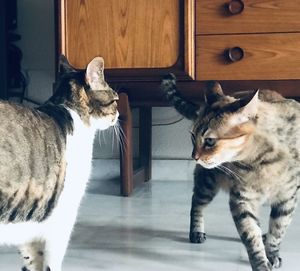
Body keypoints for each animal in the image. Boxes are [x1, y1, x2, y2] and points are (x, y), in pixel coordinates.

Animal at [0, 55, 119, 271]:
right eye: (115, 100)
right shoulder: (62, 217)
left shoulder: (28, 227)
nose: (119, 115)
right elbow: (51, 262)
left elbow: (33, 261)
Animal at [162, 73, 300, 270]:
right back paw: (196, 231)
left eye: (210, 141)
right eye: (193, 136)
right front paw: (260, 262)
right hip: (207, 182)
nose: (194, 156)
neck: (264, 162)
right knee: (196, 203)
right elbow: (251, 235)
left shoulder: (288, 198)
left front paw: (271, 253)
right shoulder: (242, 198)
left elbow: (277, 230)